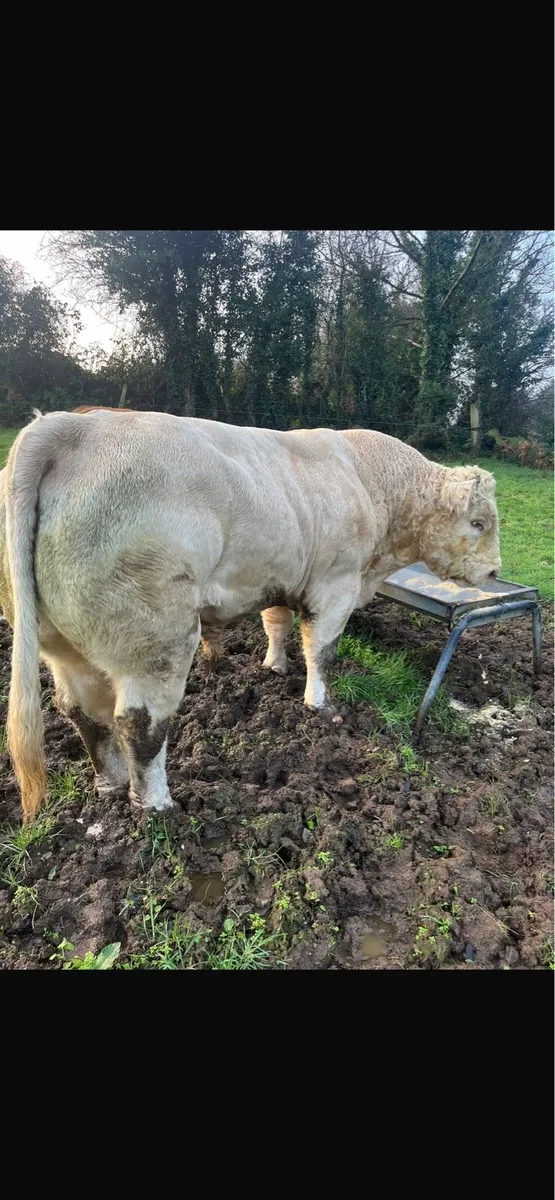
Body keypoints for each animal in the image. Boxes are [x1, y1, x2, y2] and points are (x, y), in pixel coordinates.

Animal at [0, 410, 501, 823]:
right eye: (477, 523)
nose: (495, 570)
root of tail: (75, 425)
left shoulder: (283, 578)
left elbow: (277, 625)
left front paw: (274, 667)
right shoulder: (335, 586)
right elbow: (322, 651)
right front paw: (319, 705)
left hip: (63, 647)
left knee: (82, 712)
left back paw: (110, 784)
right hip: (156, 641)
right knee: (140, 724)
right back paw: (157, 806)